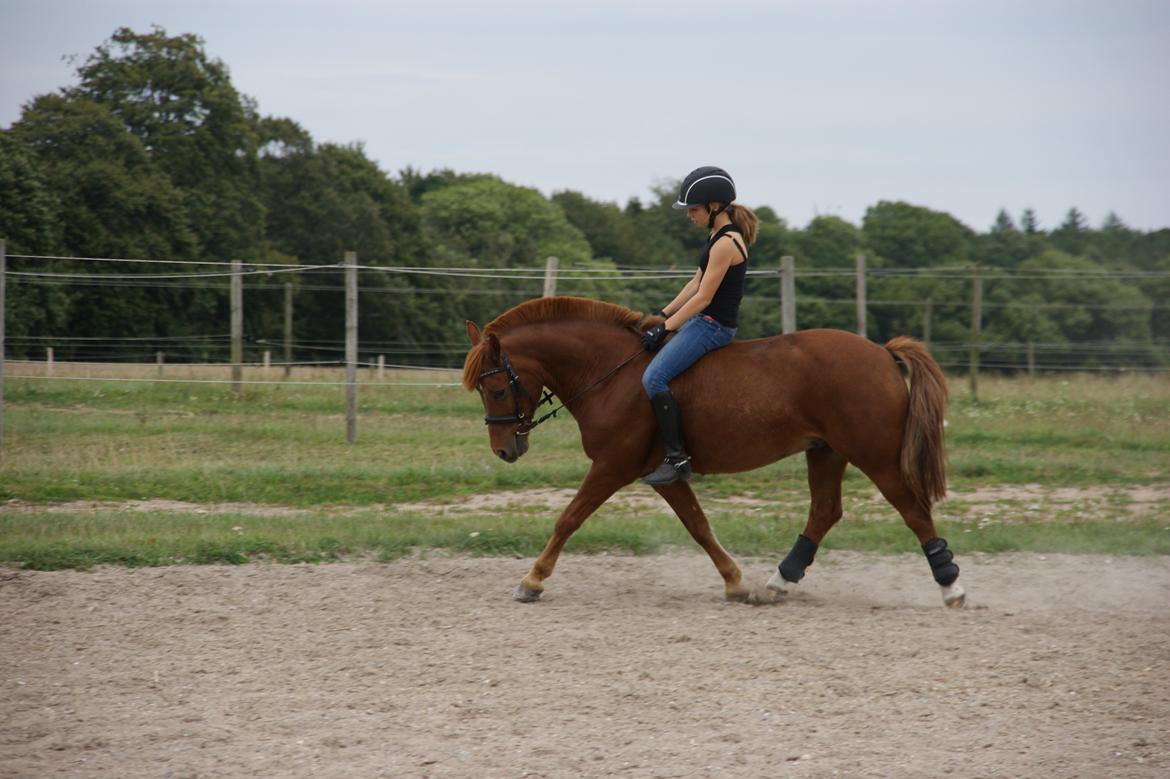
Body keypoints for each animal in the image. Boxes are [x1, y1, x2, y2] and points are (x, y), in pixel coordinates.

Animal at [460, 294, 964, 603]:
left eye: (497, 390)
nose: (504, 450)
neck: (609, 372)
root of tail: (881, 352)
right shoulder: (661, 474)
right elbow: (698, 525)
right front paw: (736, 583)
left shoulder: (613, 464)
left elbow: (569, 518)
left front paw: (531, 581)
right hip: (825, 451)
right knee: (825, 512)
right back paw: (779, 582)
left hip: (873, 453)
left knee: (912, 509)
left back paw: (950, 587)